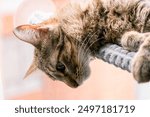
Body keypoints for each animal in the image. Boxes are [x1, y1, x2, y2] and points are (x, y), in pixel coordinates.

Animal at [12, 0, 150, 88]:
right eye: (54, 79)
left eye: (60, 67)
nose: (75, 86)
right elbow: (128, 38)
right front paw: (136, 38)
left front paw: (142, 61)